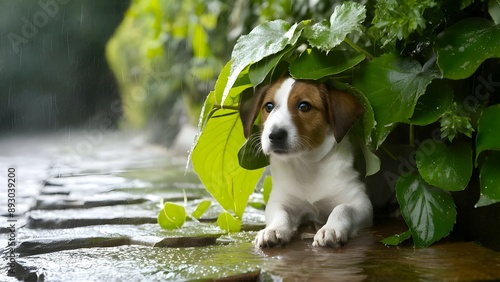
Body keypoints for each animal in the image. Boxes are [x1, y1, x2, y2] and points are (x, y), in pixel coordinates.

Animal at [240, 76, 374, 247]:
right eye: (269, 106)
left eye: (304, 106)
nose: (275, 135)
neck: (306, 164)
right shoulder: (279, 200)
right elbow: (280, 213)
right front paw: (273, 229)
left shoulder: (361, 203)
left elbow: (342, 208)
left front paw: (330, 228)